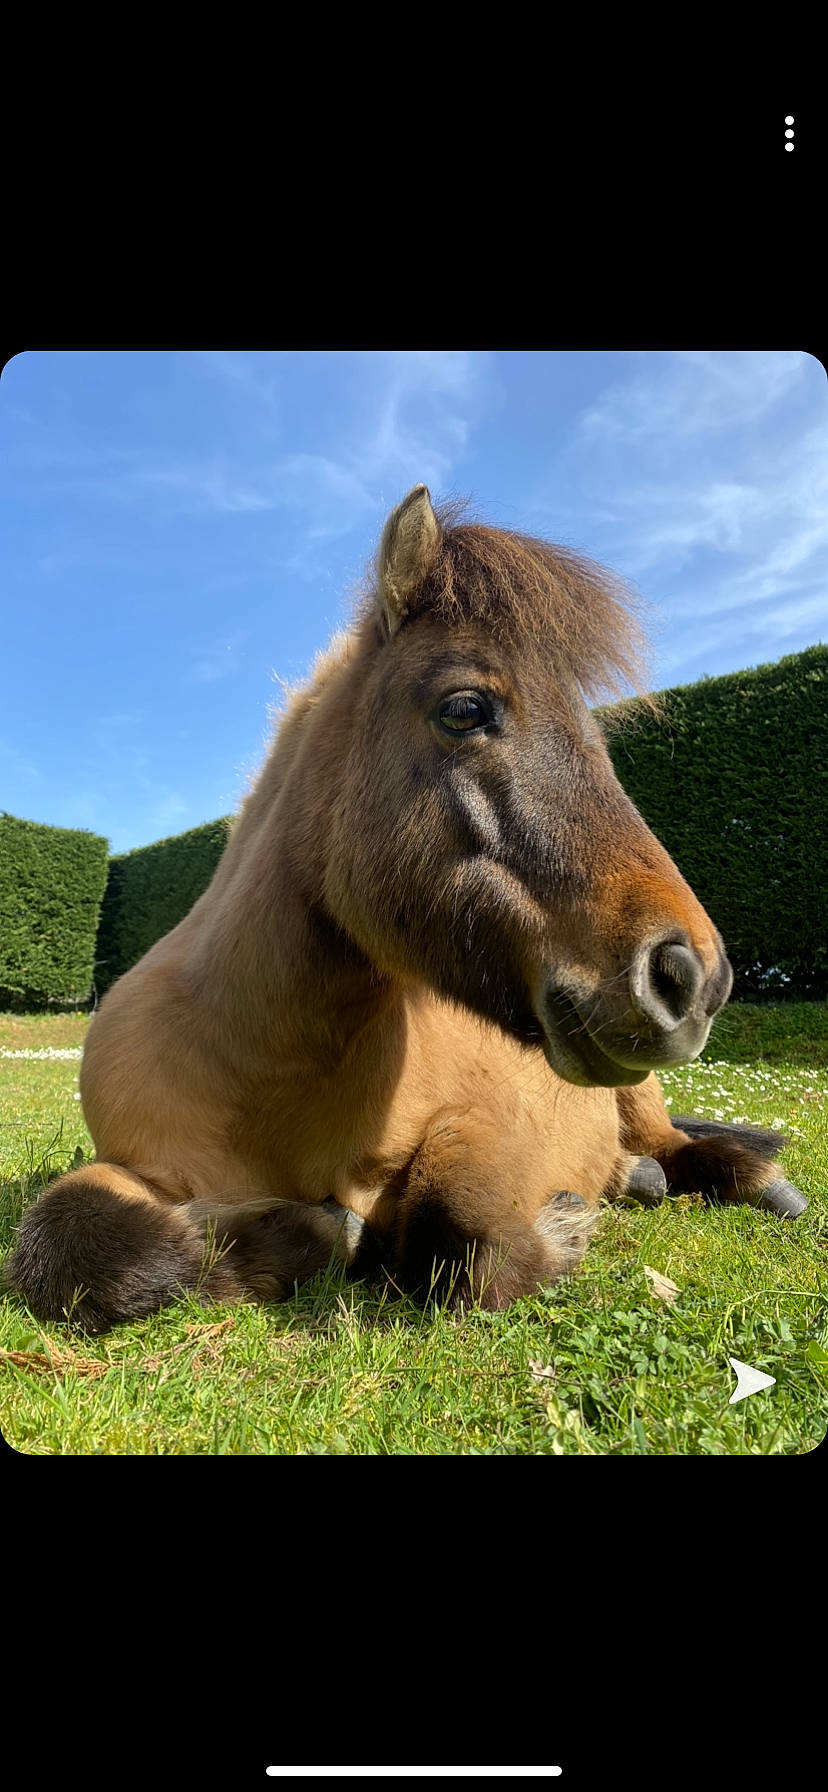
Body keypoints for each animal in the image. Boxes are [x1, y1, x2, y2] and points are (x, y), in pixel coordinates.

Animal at [3, 486, 806, 1332]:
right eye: (464, 709)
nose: (691, 976)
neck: (263, 1063)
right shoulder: (132, 1162)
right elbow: (81, 1242)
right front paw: (309, 1236)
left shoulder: (487, 1126)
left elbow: (467, 1238)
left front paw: (561, 1227)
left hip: (638, 1093)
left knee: (676, 1145)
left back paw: (747, 1183)